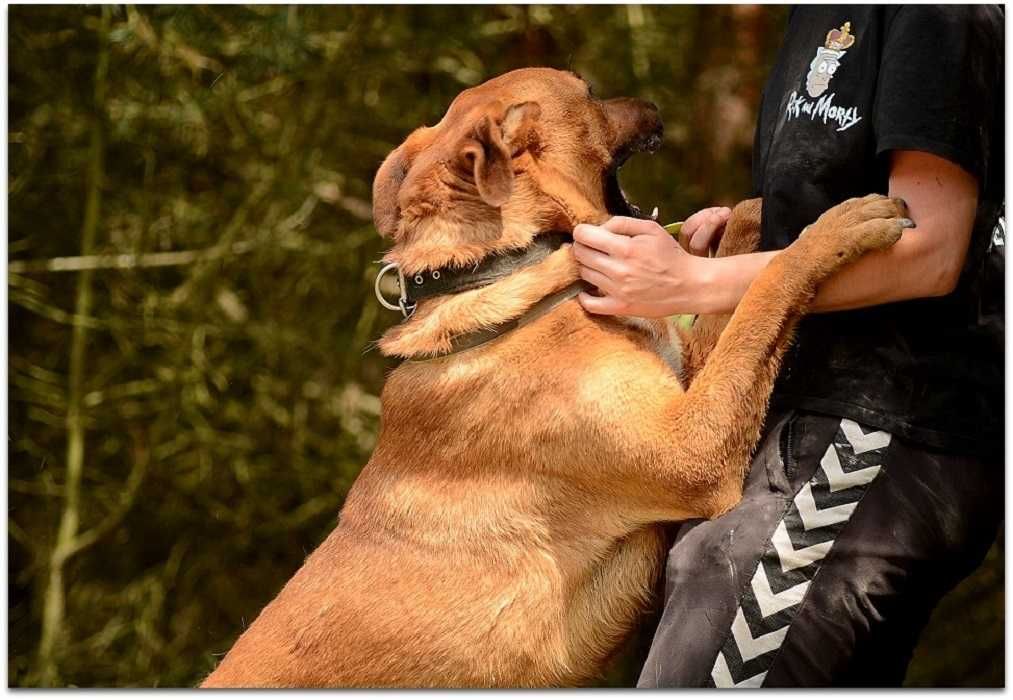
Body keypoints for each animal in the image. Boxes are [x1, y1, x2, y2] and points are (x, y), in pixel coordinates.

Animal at [201, 68, 907, 688]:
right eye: (588, 92)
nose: (655, 104)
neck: (508, 266)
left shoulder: (687, 390)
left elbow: (732, 293)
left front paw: (744, 215)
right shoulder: (693, 452)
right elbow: (765, 291)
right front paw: (834, 228)